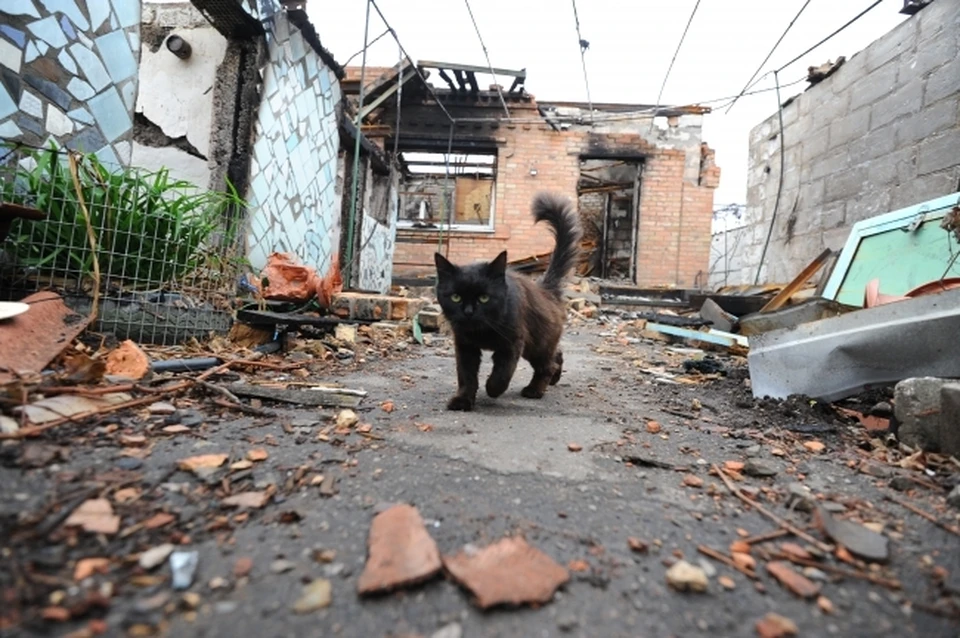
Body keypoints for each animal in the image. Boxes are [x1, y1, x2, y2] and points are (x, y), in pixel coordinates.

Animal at [436, 192, 584, 412]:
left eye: (484, 297)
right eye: (456, 297)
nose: (469, 312)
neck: (482, 330)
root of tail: (545, 288)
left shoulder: (513, 342)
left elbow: (502, 372)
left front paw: (492, 390)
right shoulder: (464, 346)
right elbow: (466, 375)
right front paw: (462, 400)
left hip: (535, 344)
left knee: (547, 365)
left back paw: (535, 390)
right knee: (556, 355)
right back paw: (553, 380)